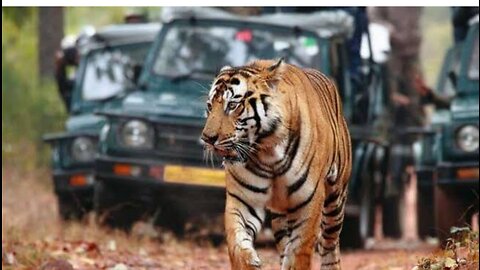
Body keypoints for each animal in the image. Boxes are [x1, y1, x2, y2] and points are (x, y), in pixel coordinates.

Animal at [201, 59, 350, 270]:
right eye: (209, 106)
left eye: (232, 105)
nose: (207, 138)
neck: (267, 153)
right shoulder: (243, 200)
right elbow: (237, 243)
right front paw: (250, 262)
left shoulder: (308, 203)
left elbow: (299, 252)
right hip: (281, 217)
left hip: (335, 201)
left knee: (330, 243)